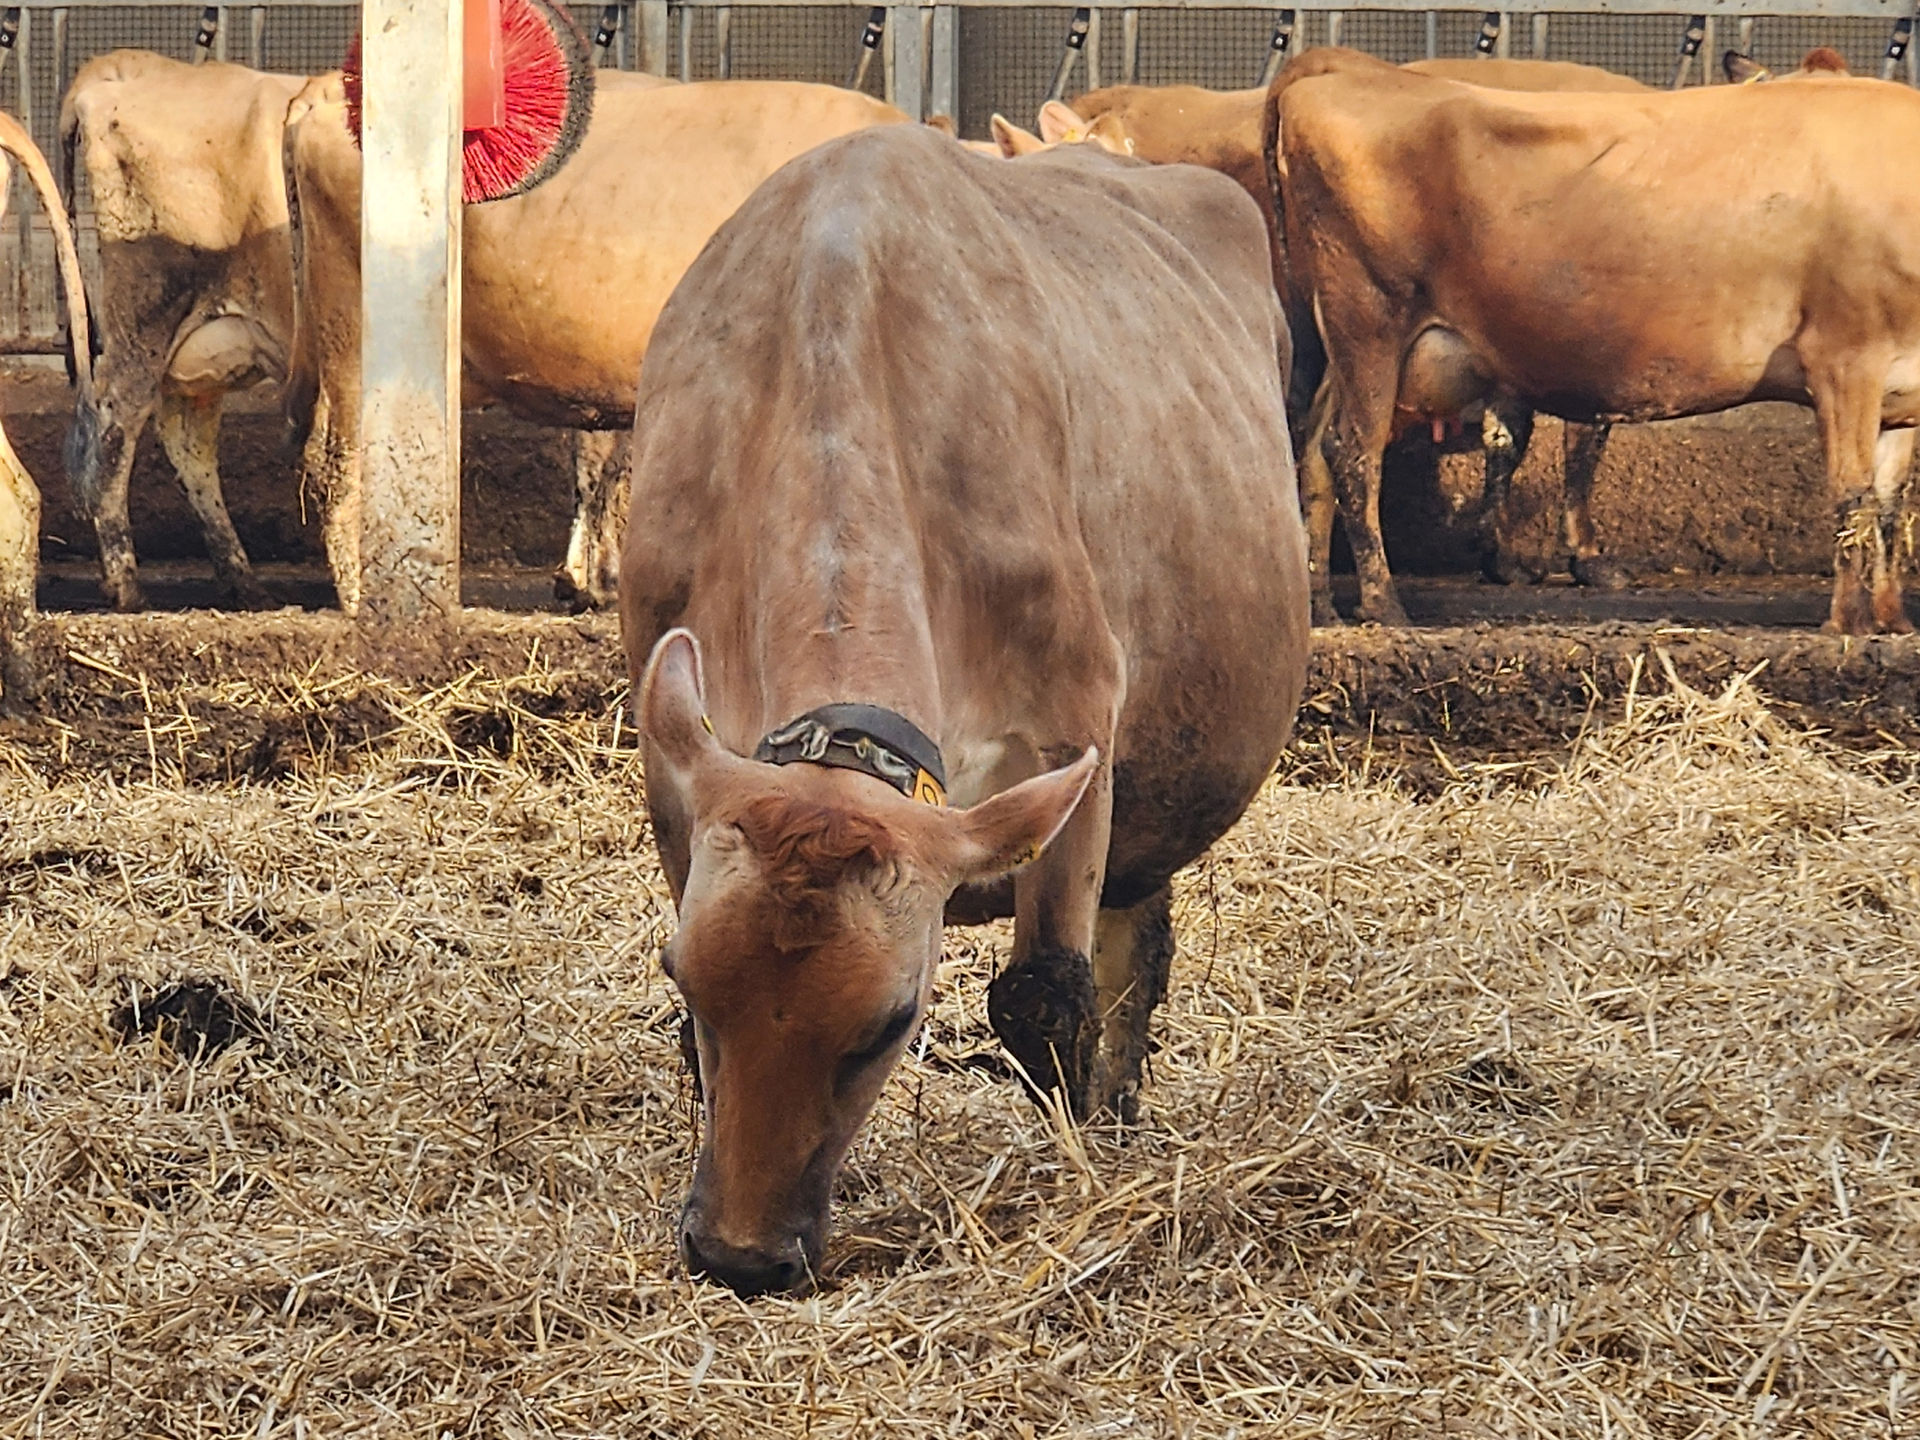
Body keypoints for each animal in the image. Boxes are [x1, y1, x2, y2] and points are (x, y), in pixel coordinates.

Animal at [620, 124, 1310, 1296]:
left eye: (891, 1021)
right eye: (690, 983)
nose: (741, 1256)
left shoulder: (1075, 729)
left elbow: (1045, 1001)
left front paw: (1075, 1184)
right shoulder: (673, 757)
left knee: (1127, 957)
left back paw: (1116, 1122)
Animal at [1269, 48, 1920, 632]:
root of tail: (1350, 68)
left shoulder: (1898, 390)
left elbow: (1891, 502)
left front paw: (1892, 621)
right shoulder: (1843, 361)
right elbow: (1853, 496)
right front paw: (1848, 625)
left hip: (1349, 340)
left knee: (1315, 451)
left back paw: (1322, 606)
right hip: (1371, 319)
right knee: (1354, 453)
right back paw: (1384, 605)